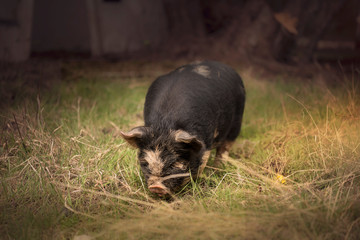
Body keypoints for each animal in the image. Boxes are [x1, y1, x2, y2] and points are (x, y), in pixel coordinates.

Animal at [121, 60, 245, 197]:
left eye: (174, 163)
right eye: (145, 163)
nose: (156, 187)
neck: (165, 124)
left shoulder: (206, 142)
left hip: (237, 121)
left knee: (225, 148)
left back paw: (218, 169)